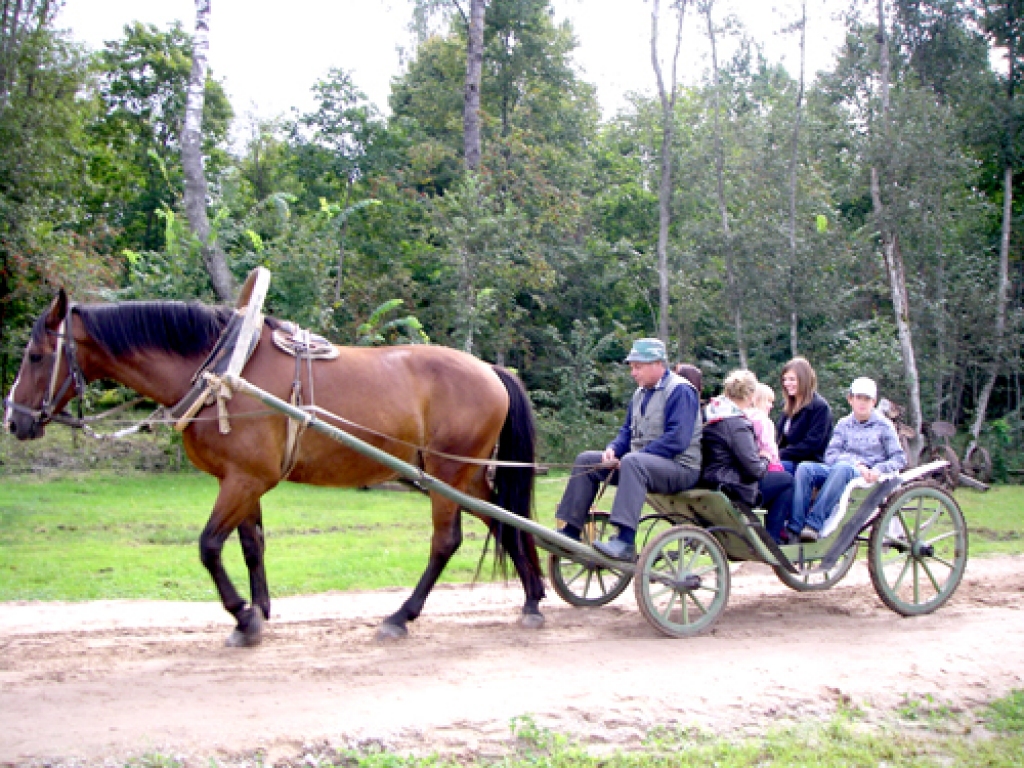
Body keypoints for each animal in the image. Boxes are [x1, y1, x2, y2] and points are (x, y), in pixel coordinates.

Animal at [4, 290, 548, 647]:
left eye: (36, 355)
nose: (14, 419)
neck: (223, 370)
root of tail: (491, 369)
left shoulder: (245, 480)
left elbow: (208, 546)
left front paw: (242, 618)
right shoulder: (242, 480)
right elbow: (251, 545)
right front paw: (259, 610)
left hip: (446, 476)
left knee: (447, 542)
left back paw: (402, 615)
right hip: (464, 477)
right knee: (506, 521)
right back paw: (533, 599)